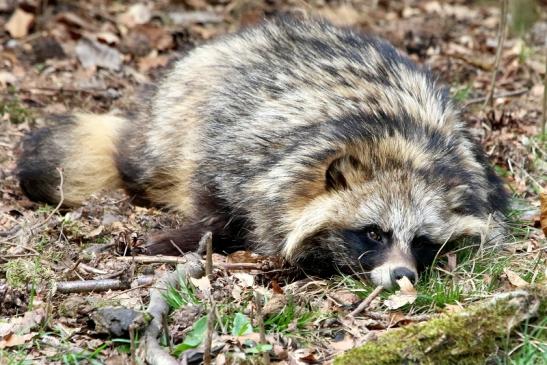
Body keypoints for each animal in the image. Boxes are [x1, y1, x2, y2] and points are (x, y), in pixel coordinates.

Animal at [17, 17, 510, 288]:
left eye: (423, 242)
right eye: (374, 233)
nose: (403, 275)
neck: (406, 146)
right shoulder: (247, 146)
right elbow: (216, 200)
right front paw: (187, 236)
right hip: (179, 105)